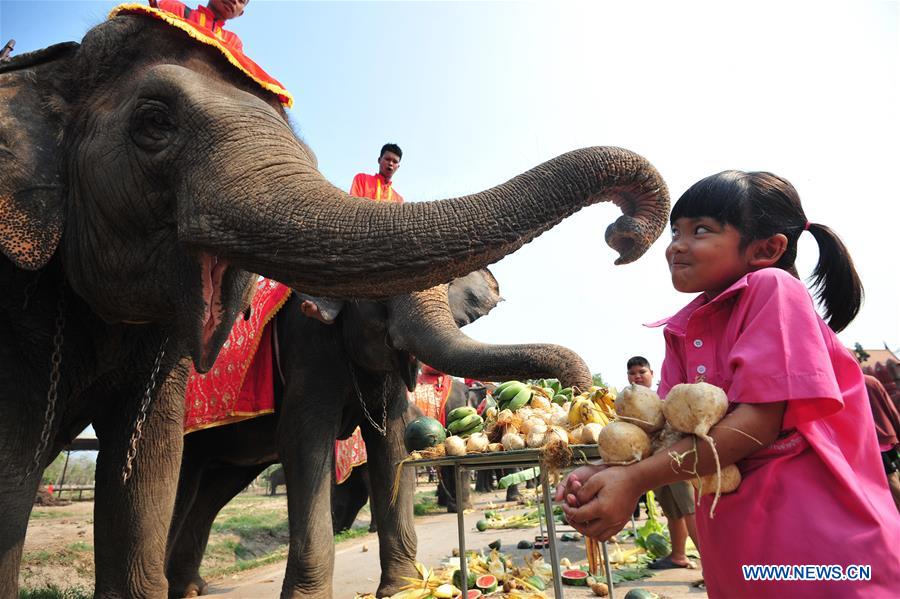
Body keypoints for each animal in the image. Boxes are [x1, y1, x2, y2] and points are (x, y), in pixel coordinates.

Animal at [167, 272, 596, 599]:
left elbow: (392, 443)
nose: (579, 394)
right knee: (184, 481)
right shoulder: (306, 342)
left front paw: (402, 589)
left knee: (213, 491)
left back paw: (189, 587)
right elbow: (304, 441)